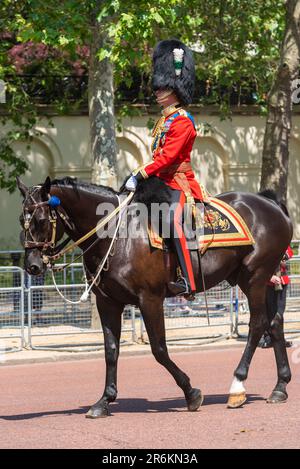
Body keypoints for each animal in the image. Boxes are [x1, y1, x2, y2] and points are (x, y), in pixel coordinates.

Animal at [17, 176, 292, 416]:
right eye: (22, 220)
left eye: (41, 220)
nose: (32, 266)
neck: (118, 238)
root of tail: (268, 202)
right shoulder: (108, 302)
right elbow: (111, 350)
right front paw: (104, 400)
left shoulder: (149, 299)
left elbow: (159, 349)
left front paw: (191, 392)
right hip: (265, 279)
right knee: (275, 322)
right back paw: (280, 387)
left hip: (254, 277)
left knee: (257, 324)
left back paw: (237, 385)